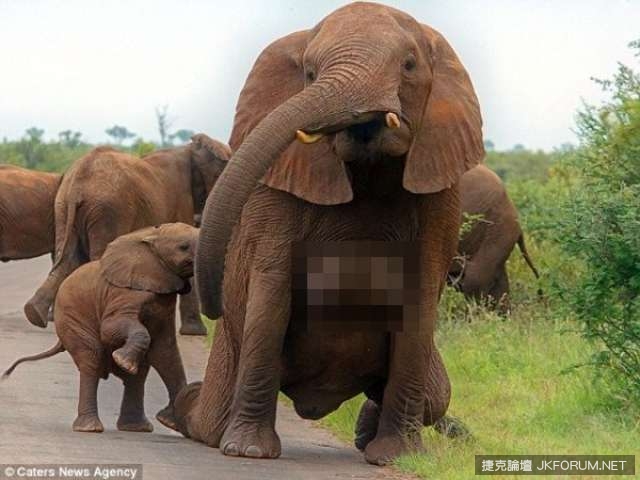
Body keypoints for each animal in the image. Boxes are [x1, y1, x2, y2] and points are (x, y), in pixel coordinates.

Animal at [3, 223, 198, 433]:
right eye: (183, 247)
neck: (151, 238)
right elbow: (110, 329)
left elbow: (165, 350)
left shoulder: (164, 304)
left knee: (139, 372)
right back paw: (90, 427)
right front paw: (122, 360)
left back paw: (136, 427)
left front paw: (169, 421)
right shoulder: (124, 293)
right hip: (73, 323)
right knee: (91, 360)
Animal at [24, 134, 230, 335]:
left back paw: (34, 314)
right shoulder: (182, 200)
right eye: (219, 174)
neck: (190, 149)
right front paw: (196, 333)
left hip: (63, 207)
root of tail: (78, 182)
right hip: (108, 210)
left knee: (66, 259)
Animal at [172, 2, 485, 466]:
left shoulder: (441, 195)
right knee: (209, 415)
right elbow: (272, 288)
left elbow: (419, 297)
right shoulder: (279, 188)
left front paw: (395, 458)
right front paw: (248, 451)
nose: (214, 307)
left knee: (437, 394)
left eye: (409, 65)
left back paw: (367, 432)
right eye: (310, 72)